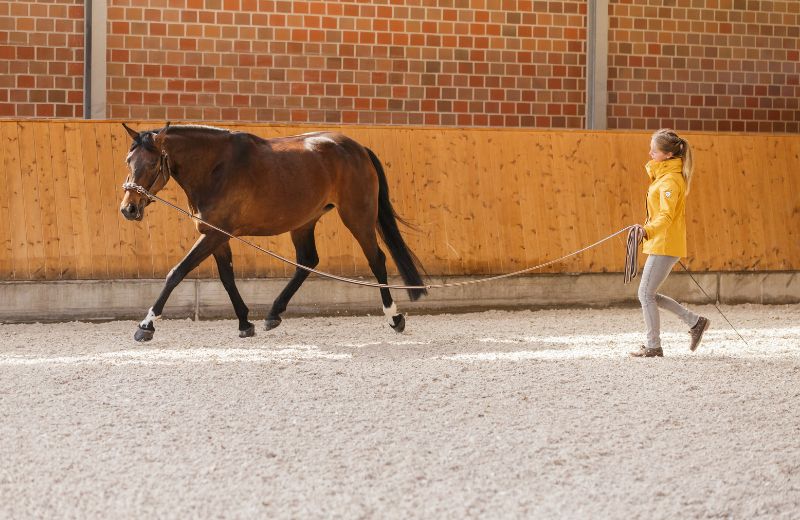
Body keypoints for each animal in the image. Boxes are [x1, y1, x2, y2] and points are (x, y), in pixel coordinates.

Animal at [119, 122, 424, 342]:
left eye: (151, 164)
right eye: (128, 161)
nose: (129, 209)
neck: (216, 168)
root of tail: (358, 148)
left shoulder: (215, 234)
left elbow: (177, 273)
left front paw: (146, 325)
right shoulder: (216, 235)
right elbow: (227, 278)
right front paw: (245, 323)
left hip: (357, 217)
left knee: (377, 260)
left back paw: (394, 317)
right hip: (304, 222)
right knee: (307, 261)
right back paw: (273, 314)